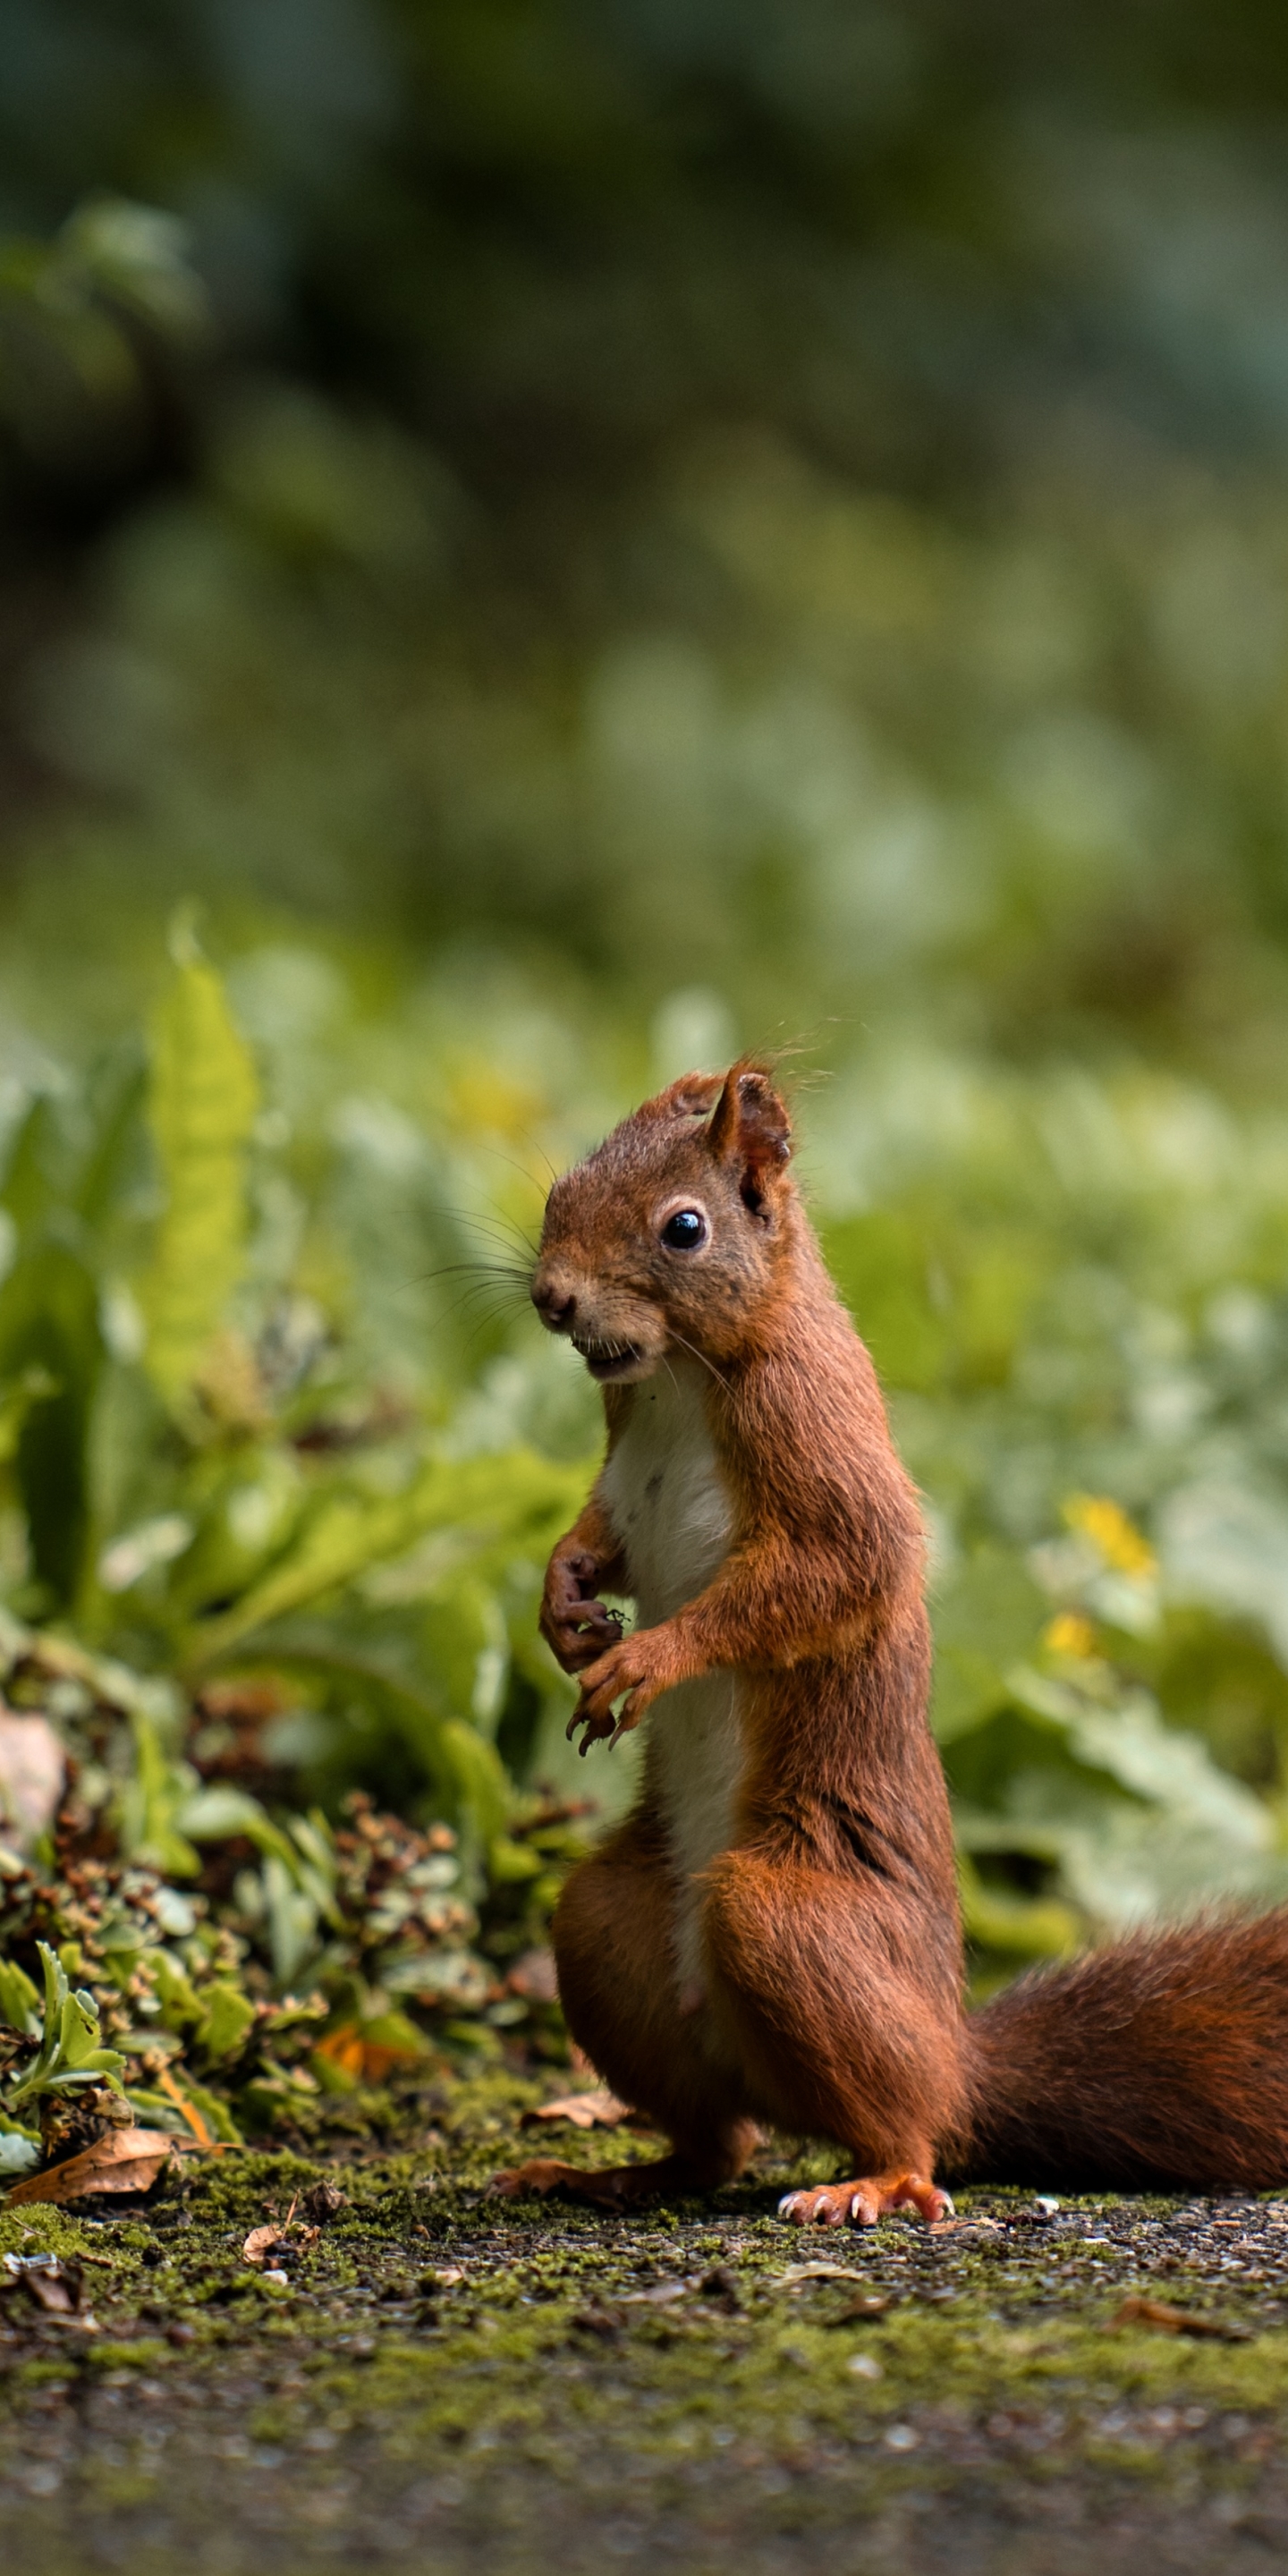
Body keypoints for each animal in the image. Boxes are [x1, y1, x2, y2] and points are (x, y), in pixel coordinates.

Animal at [487, 1055, 1288, 2225]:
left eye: (684, 1228)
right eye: (558, 1192)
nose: (553, 1298)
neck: (681, 1376)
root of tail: (959, 2063)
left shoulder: (821, 1453)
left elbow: (829, 1577)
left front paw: (647, 1658)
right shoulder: (624, 1472)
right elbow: (602, 1542)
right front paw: (562, 1602)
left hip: (790, 1922)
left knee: (904, 2131)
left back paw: (872, 2179)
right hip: (606, 1928)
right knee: (713, 2143)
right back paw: (617, 2173)